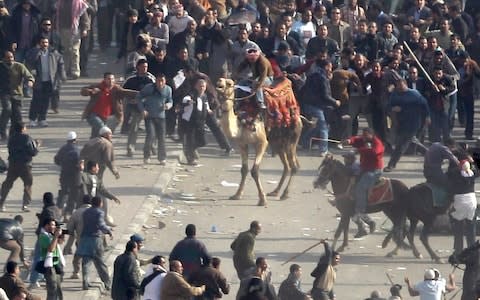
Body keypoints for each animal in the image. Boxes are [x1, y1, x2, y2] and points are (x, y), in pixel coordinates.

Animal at [216, 77, 302, 206]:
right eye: (220, 79)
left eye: (230, 83)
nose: (219, 82)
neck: (242, 123)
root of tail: (299, 117)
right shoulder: (242, 144)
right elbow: (244, 169)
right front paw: (237, 195)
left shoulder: (262, 142)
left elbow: (254, 171)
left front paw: (262, 199)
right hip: (277, 143)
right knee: (287, 166)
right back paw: (275, 192)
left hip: (291, 140)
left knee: (294, 166)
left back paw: (284, 194)